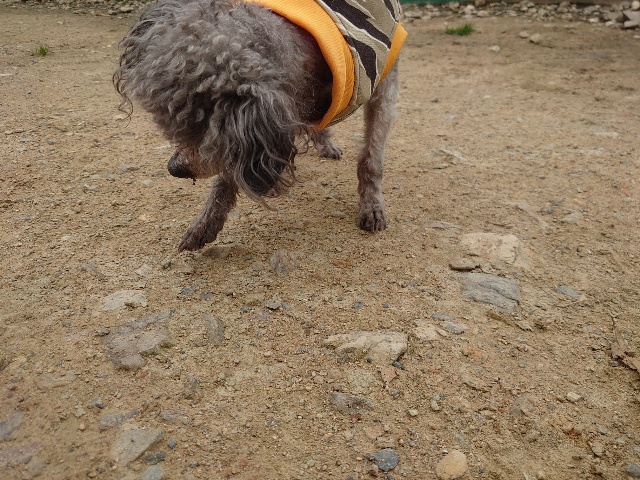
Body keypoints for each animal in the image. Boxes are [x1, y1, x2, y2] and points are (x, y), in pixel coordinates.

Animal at [114, 0, 406, 251]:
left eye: (203, 131)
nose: (175, 169)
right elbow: (230, 176)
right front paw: (205, 225)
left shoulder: (385, 85)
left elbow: (371, 160)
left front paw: (371, 205)